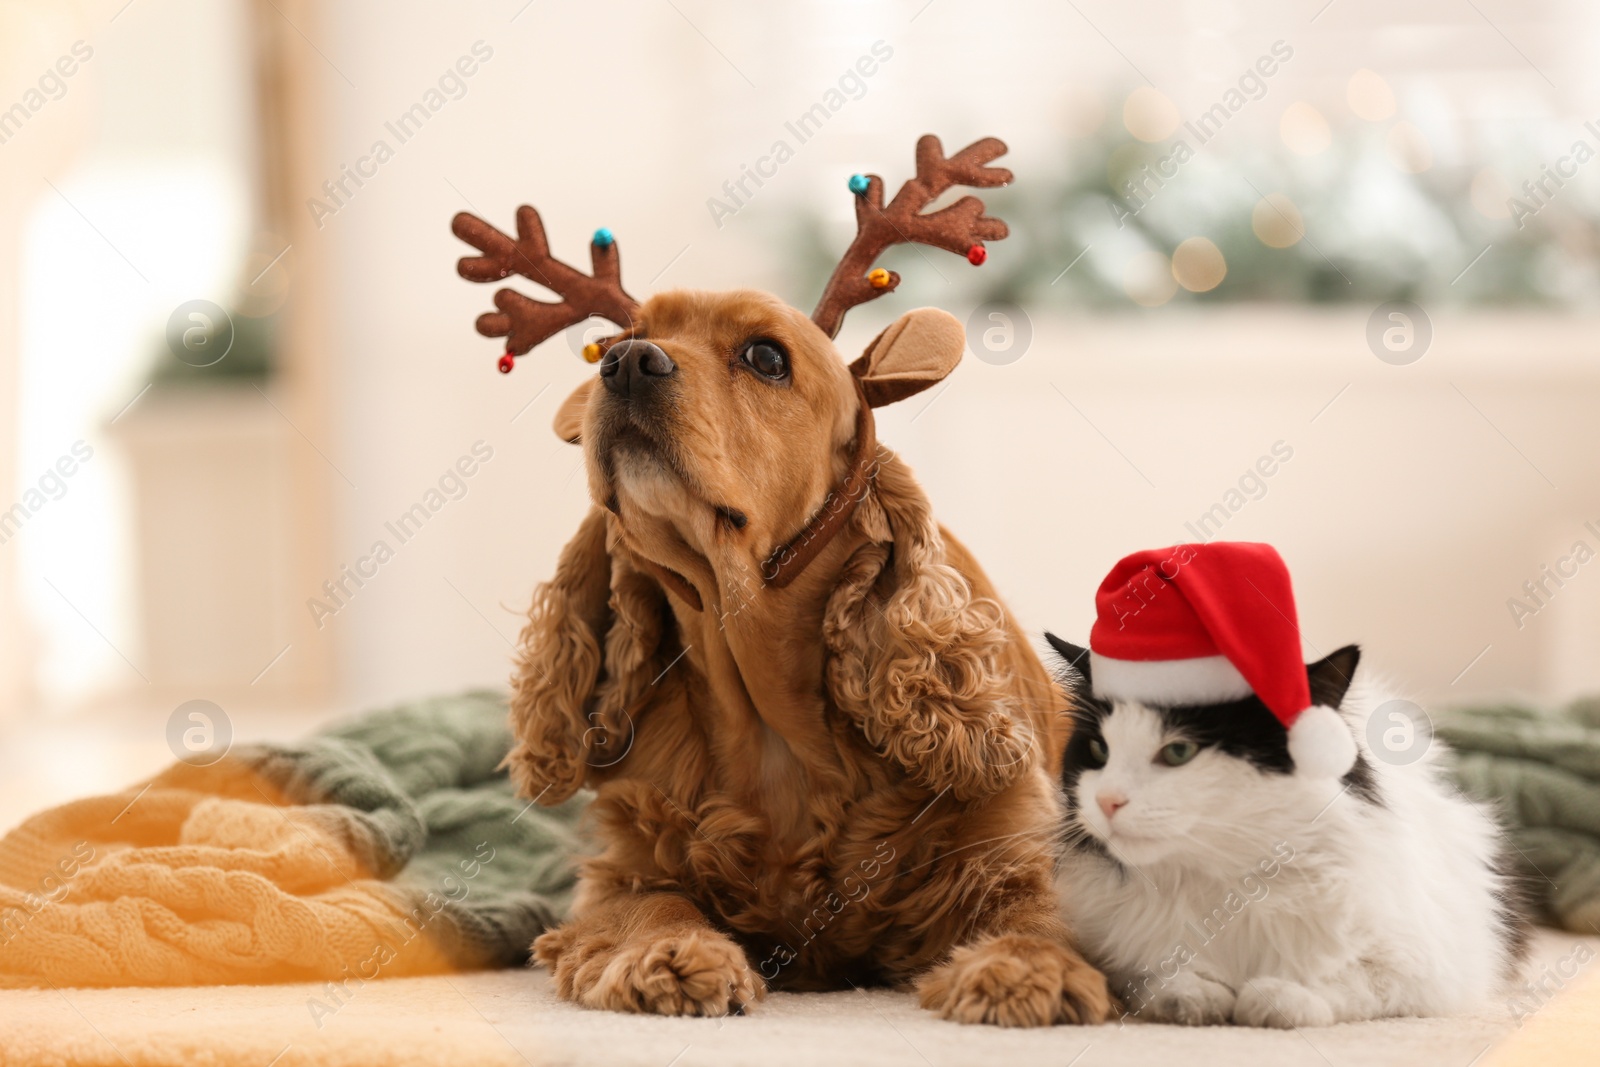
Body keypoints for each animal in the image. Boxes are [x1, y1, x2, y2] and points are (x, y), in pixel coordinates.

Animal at [444, 133, 1107, 1023]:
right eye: (613, 341)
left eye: (765, 356)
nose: (626, 361)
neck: (771, 716)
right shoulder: (620, 863)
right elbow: (648, 900)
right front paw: (667, 954)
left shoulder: (1013, 836)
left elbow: (1042, 911)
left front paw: (1026, 971)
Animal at [1043, 633, 1529, 1023]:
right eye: (1098, 750)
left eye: (1178, 752)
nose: (1107, 801)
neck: (1225, 882)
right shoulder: (1115, 955)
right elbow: (1158, 976)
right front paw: (1197, 997)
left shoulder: (1432, 971)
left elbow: (1348, 984)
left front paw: (1274, 999)